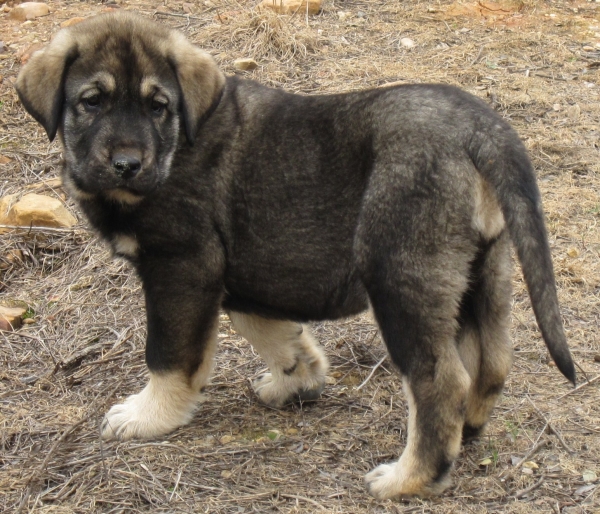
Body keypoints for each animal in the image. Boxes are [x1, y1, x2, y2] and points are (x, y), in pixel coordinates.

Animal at [15, 12, 576, 498]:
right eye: (91, 101)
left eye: (158, 106)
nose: (127, 165)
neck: (179, 144)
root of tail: (482, 128)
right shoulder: (238, 271)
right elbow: (267, 326)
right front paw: (299, 378)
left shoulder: (181, 267)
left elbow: (170, 354)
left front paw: (149, 415)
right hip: (484, 269)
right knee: (493, 358)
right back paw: (469, 430)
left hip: (400, 276)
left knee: (439, 380)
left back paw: (410, 478)